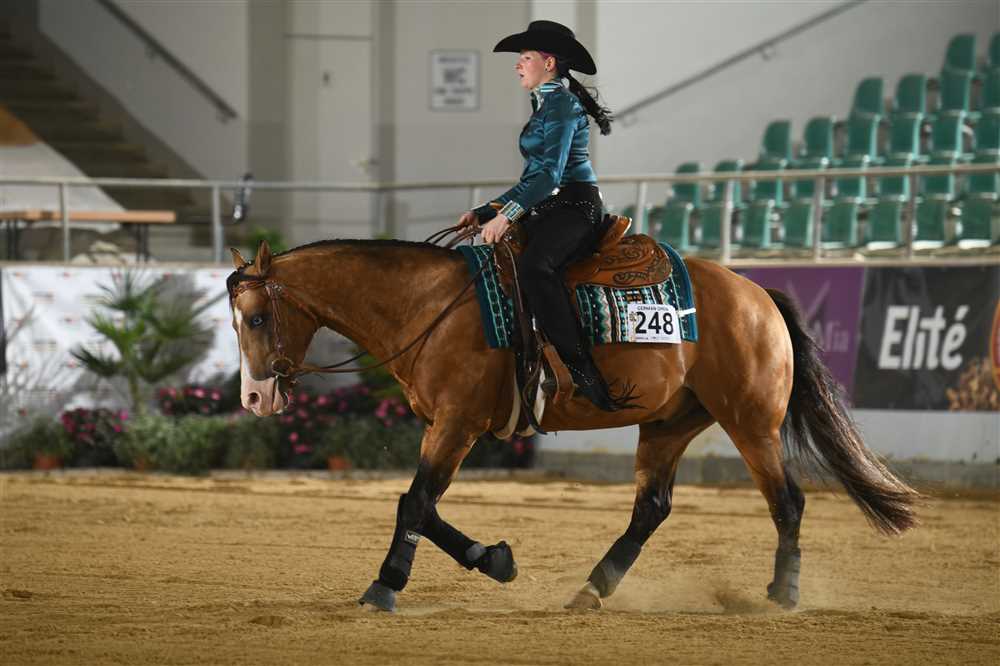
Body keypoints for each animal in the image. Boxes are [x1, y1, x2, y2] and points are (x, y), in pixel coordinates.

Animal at [226, 237, 917, 613]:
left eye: (257, 317)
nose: (255, 397)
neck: (429, 307)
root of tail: (757, 295)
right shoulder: (445, 425)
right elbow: (426, 507)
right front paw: (496, 560)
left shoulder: (456, 423)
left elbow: (415, 503)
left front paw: (385, 585)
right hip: (667, 425)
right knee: (651, 510)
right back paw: (592, 589)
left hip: (750, 422)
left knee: (788, 502)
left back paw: (783, 594)